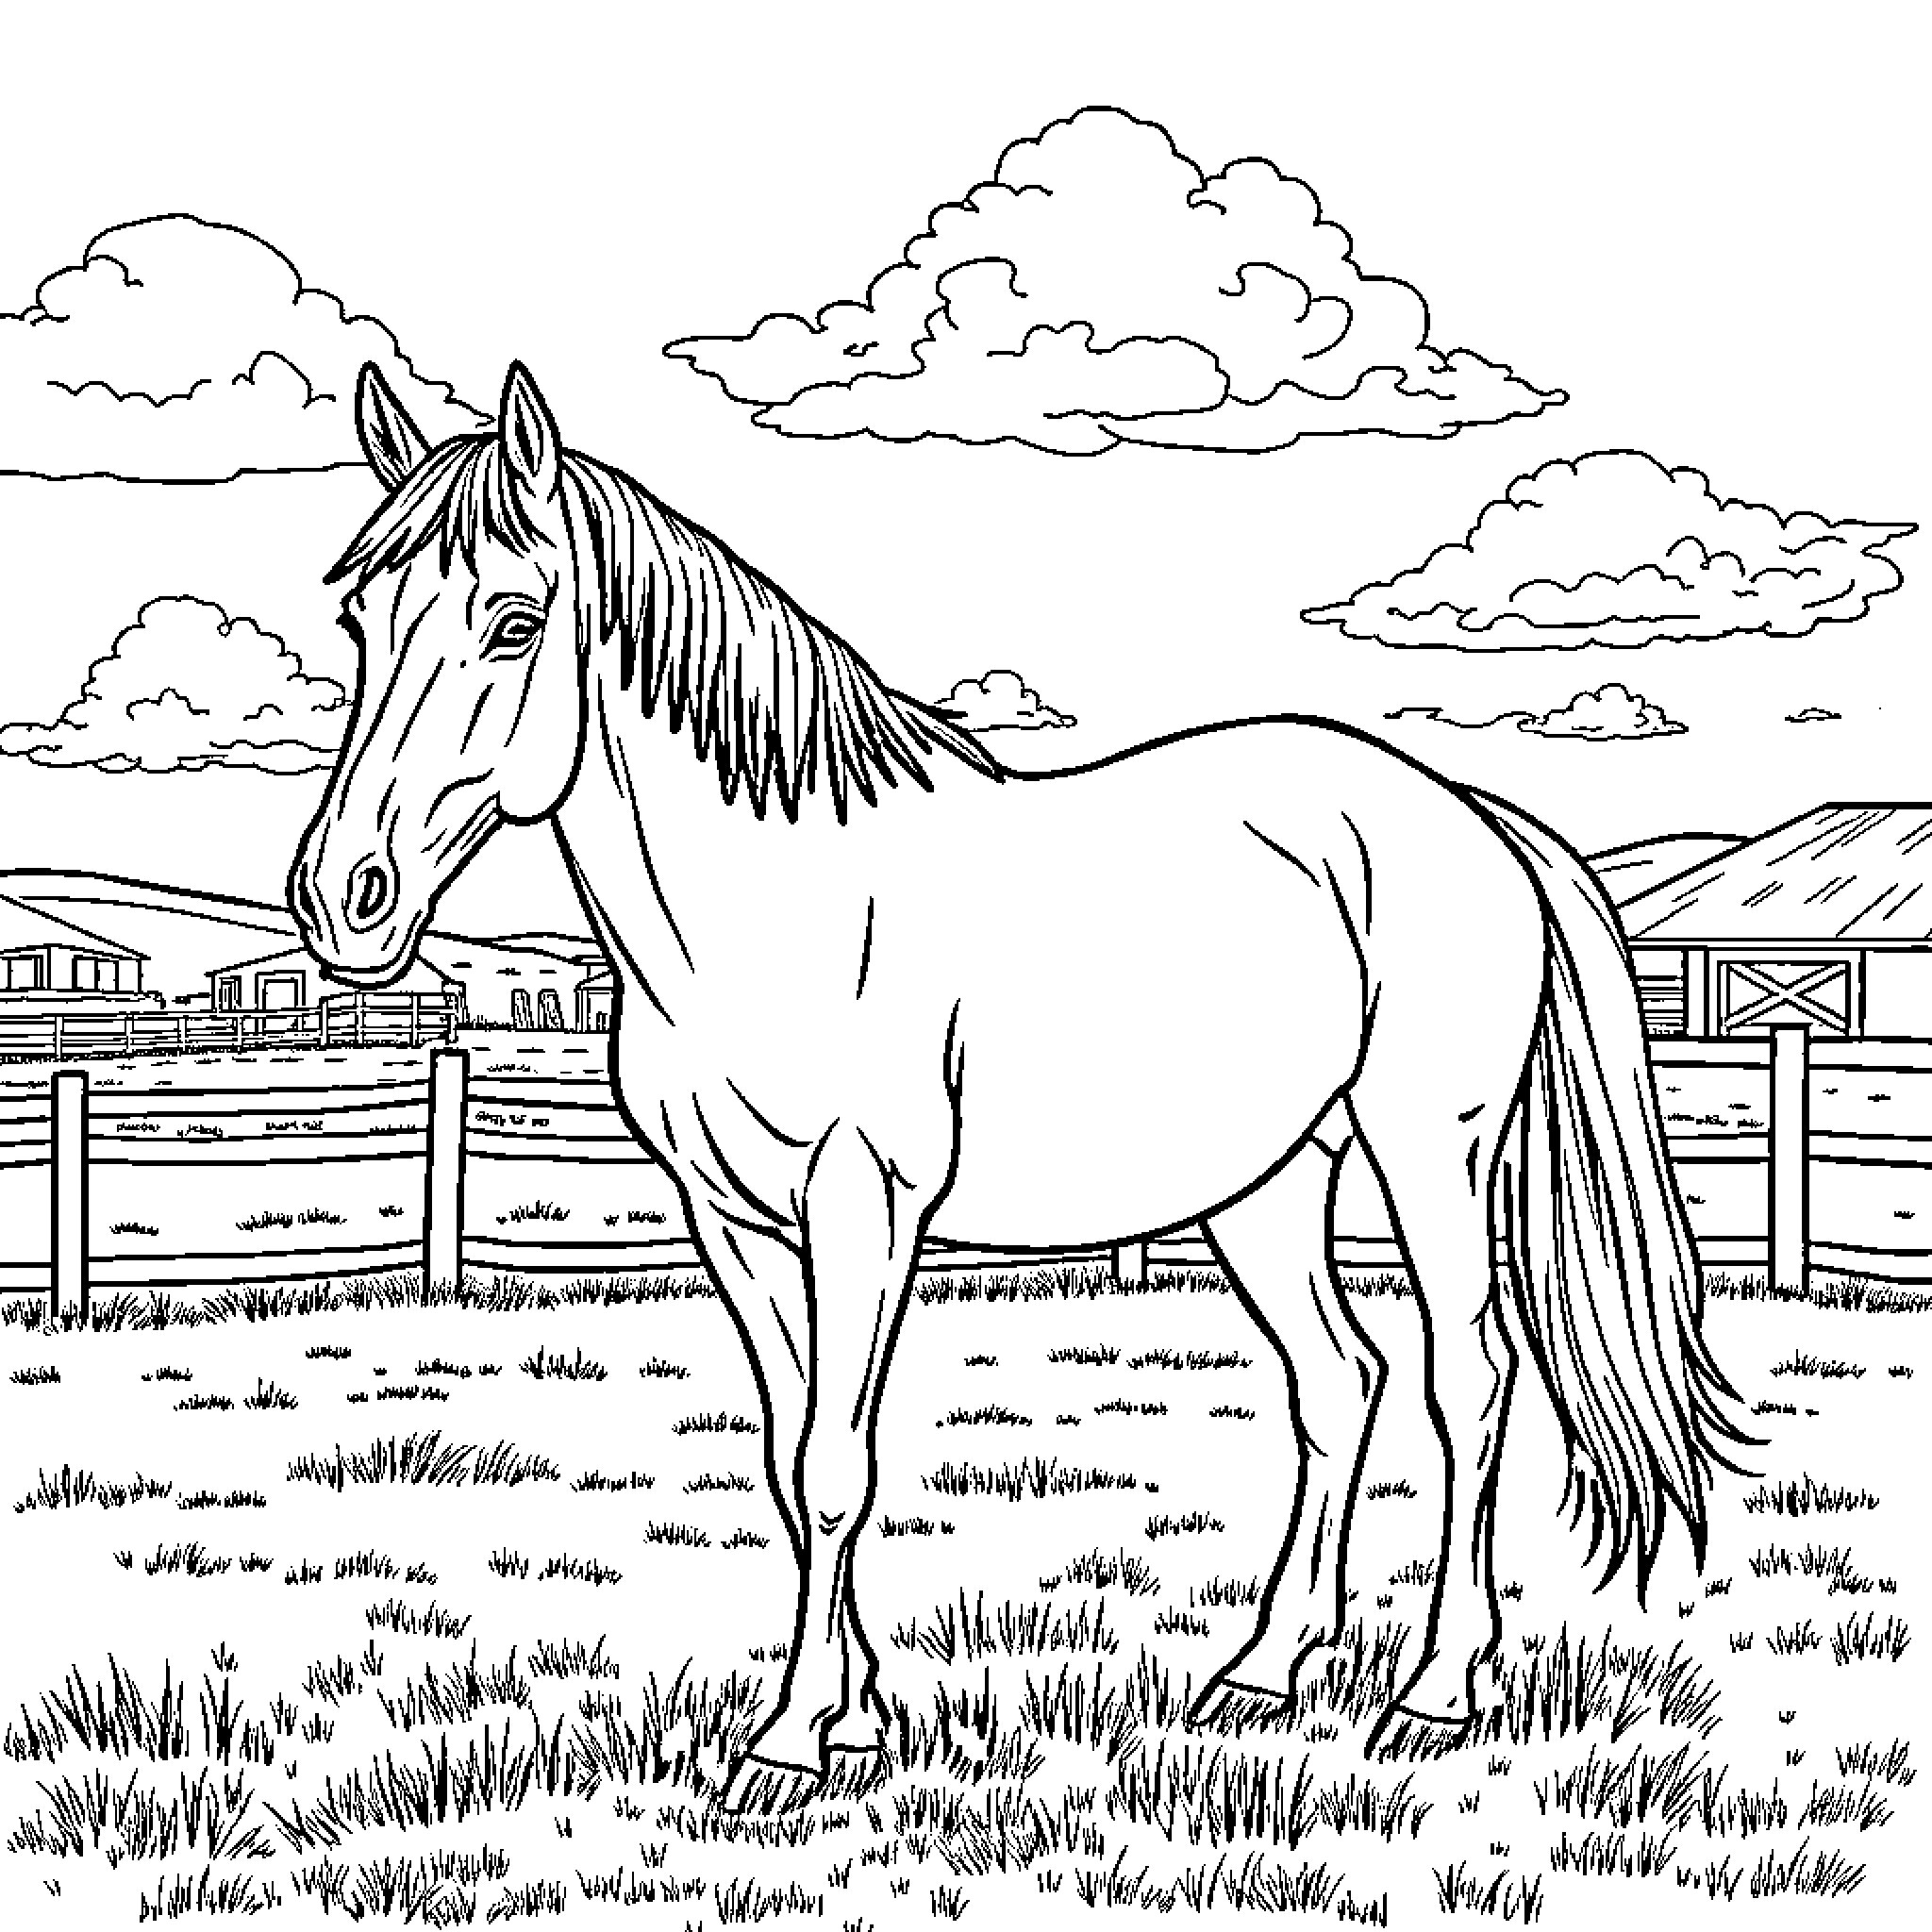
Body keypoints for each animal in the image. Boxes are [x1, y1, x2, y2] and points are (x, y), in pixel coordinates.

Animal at [289, 361, 1752, 1814]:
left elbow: (836, 1468)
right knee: (1340, 1382)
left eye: (513, 622)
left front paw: (791, 1744)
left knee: (1467, 1377)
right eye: (359, 617)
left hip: (1426, 1151)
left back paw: (1440, 1691)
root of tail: (1462, 811)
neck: (775, 909)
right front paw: (860, 1717)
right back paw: (1262, 1676)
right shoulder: (730, 1218)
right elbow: (787, 1460)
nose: (342, 899)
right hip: (1269, 1184)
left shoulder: (862, 1202)